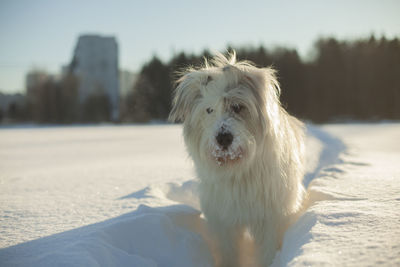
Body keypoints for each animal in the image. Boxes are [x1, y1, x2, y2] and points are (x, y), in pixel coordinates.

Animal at [168, 51, 304, 266]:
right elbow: (229, 251)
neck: (238, 170)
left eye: (238, 107)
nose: (223, 138)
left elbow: (267, 250)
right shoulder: (225, 221)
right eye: (209, 110)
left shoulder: (270, 219)